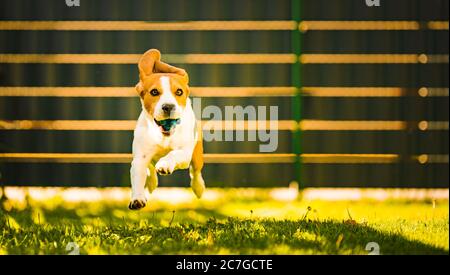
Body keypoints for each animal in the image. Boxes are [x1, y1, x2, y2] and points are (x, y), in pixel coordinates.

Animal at [129, 49, 205, 211]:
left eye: (179, 92)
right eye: (154, 92)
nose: (168, 106)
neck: (164, 135)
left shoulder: (184, 153)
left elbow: (174, 154)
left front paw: (164, 164)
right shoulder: (140, 158)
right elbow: (138, 176)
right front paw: (137, 199)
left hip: (196, 155)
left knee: (195, 172)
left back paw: (198, 188)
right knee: (150, 169)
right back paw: (151, 182)